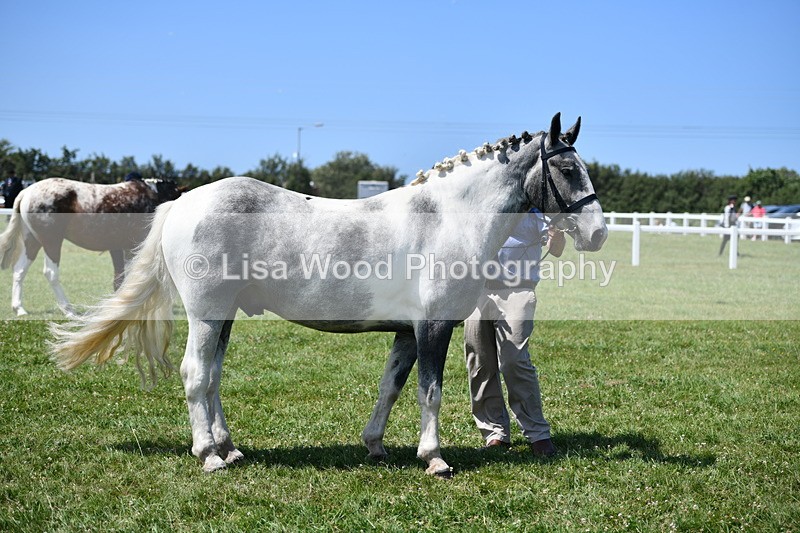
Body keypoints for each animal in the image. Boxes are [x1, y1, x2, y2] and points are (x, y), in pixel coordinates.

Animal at [0, 177, 181, 316]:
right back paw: (69, 310)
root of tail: (27, 192)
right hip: (51, 241)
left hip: (32, 241)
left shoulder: (119, 247)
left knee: (19, 270)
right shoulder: (132, 246)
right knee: (50, 273)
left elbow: (121, 278)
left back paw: (19, 308)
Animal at [50, 113, 607, 477]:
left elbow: (391, 387)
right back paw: (208, 455)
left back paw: (229, 448)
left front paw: (376, 446)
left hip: (224, 315)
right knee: (195, 374)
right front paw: (434, 458)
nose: (598, 233)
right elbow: (430, 391)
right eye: (567, 170)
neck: (448, 217)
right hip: (206, 314)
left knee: (212, 377)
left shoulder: (407, 332)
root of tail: (185, 201)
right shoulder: (433, 327)